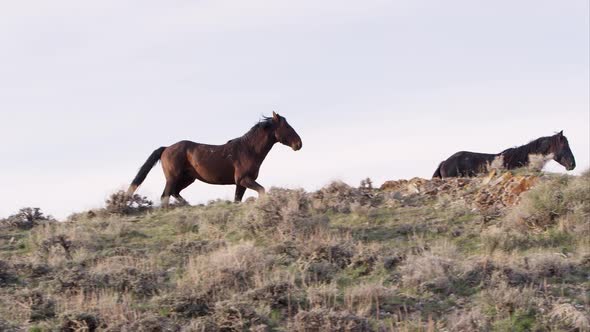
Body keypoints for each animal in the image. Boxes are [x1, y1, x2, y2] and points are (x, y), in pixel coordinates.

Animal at [130, 113, 306, 206]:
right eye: (287, 127)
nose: (299, 144)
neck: (248, 150)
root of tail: (166, 148)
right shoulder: (244, 179)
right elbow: (262, 190)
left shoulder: (240, 183)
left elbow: (237, 200)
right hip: (173, 178)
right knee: (166, 195)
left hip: (187, 179)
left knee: (174, 193)